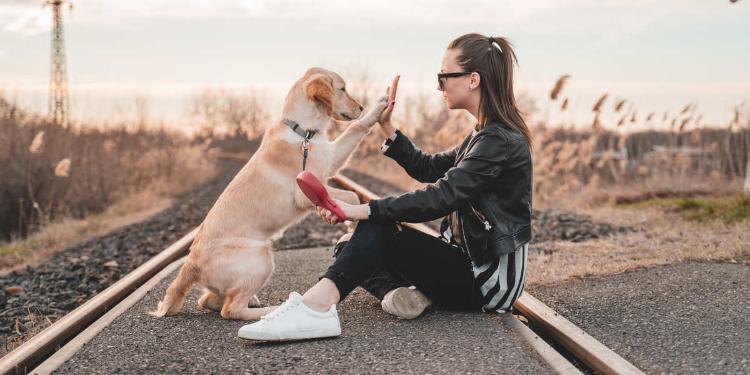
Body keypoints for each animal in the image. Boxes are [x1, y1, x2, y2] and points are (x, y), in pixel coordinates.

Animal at [151, 67, 390, 320]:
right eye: (342, 89)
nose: (361, 107)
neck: (304, 132)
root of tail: (190, 264)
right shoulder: (305, 190)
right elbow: (352, 196)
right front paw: (352, 225)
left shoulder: (331, 159)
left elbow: (356, 128)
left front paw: (378, 107)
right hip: (261, 255)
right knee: (230, 309)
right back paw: (272, 310)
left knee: (207, 300)